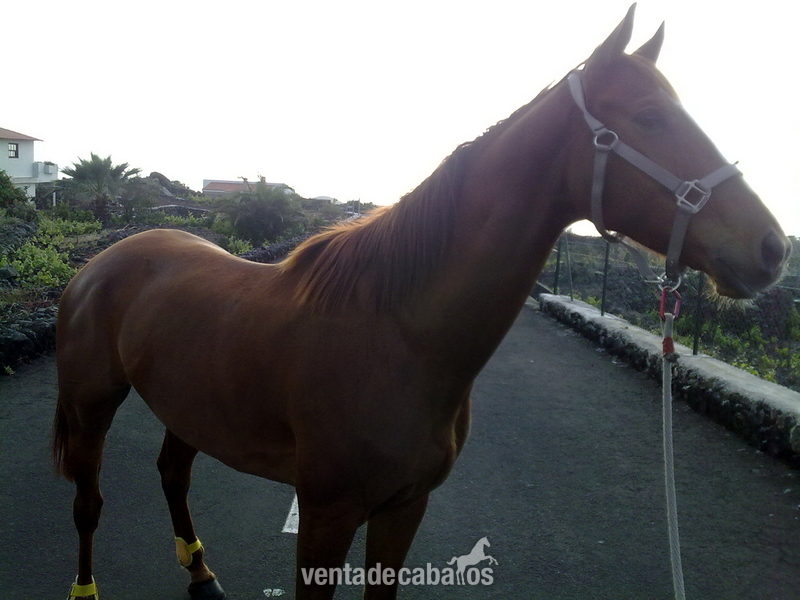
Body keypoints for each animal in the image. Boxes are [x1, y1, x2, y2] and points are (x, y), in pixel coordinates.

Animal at [53, 5, 790, 600]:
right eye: (650, 118)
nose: (773, 248)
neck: (397, 336)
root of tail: (104, 260)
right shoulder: (325, 514)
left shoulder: (403, 509)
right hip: (93, 406)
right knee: (87, 503)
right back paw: (87, 587)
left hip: (189, 405)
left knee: (172, 475)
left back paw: (202, 573)